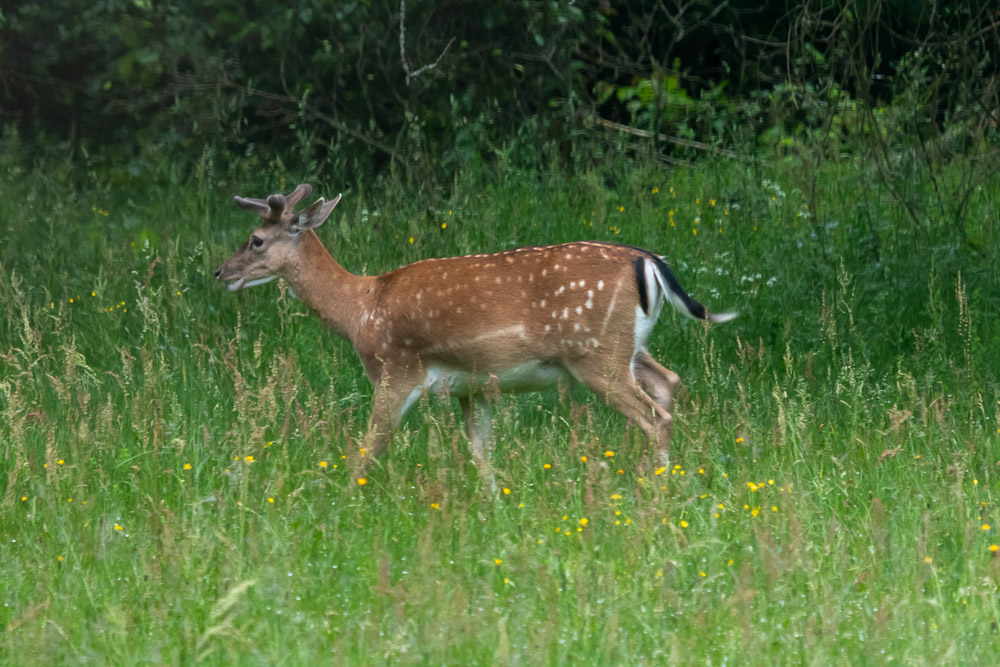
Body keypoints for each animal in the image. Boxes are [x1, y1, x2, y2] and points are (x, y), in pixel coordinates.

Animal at [217, 185, 736, 488]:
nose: (222, 272)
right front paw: (495, 504)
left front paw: (346, 502)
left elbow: (369, 448)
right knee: (669, 381)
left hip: (596, 353)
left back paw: (656, 491)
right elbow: (480, 453)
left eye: (256, 240)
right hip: (626, 348)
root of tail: (648, 261)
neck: (361, 308)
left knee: (655, 416)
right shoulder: (473, 386)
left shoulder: (395, 368)